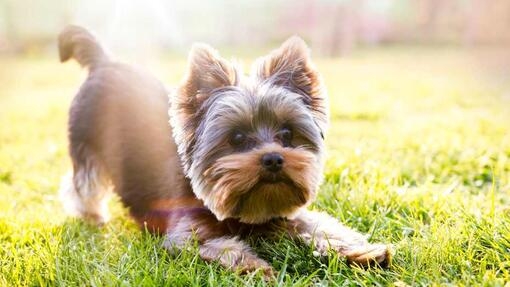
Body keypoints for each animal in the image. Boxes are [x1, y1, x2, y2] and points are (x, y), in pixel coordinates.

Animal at [59, 25, 392, 278]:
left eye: (287, 134)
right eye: (237, 137)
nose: (273, 158)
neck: (244, 212)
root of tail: (103, 62)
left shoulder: (284, 213)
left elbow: (323, 227)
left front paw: (363, 252)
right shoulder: (185, 236)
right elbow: (223, 247)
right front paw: (257, 267)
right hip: (84, 143)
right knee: (83, 183)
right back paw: (92, 216)